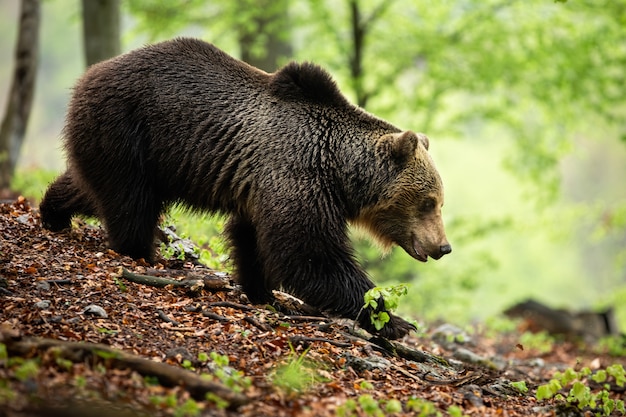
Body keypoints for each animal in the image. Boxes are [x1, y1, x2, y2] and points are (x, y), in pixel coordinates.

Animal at [39, 38, 448, 338]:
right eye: (429, 201)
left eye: (439, 201)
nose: (443, 246)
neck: (337, 170)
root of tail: (90, 73)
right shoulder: (295, 172)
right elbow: (310, 253)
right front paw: (395, 320)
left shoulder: (263, 188)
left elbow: (253, 239)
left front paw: (262, 293)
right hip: (130, 128)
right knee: (131, 202)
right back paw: (141, 252)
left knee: (95, 187)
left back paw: (54, 212)